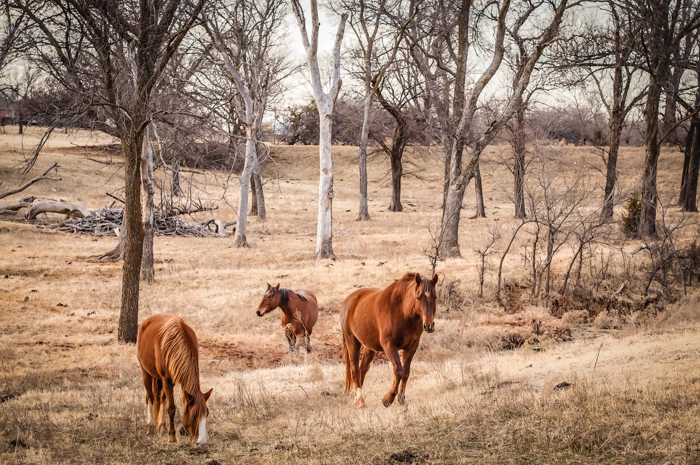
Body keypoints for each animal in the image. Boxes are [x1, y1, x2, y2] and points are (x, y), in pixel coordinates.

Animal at [137, 314, 212, 444]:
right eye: (194, 415)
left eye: (206, 414)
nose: (201, 442)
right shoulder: (167, 380)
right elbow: (171, 408)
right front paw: (172, 436)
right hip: (146, 372)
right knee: (150, 397)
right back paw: (150, 427)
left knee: (161, 397)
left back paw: (161, 426)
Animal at [340, 272, 438, 406]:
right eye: (418, 297)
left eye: (435, 297)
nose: (428, 325)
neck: (402, 310)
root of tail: (348, 300)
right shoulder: (389, 346)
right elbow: (399, 370)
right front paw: (388, 398)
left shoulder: (411, 347)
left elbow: (406, 372)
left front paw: (401, 399)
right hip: (352, 342)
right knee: (355, 370)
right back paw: (361, 400)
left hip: (369, 347)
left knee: (362, 369)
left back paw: (357, 398)